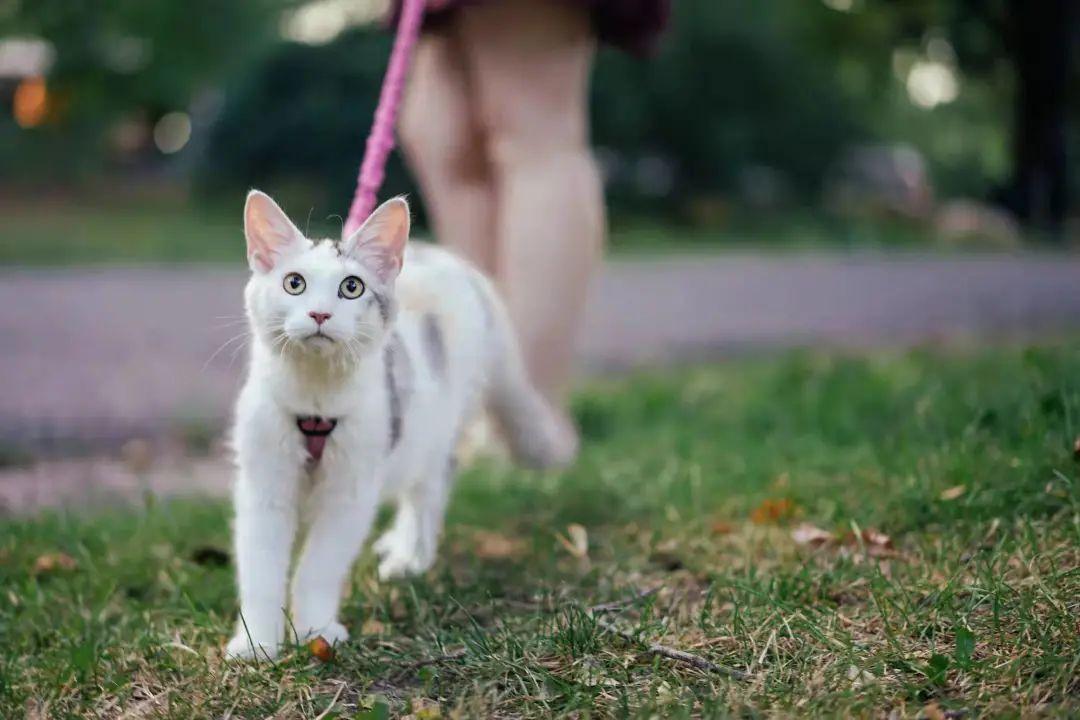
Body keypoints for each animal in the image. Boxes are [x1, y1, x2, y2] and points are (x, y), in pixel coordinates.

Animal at [225, 189, 574, 660]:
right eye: (294, 283)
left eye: (351, 287)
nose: (319, 314)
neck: (315, 399)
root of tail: (453, 261)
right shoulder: (263, 488)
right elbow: (261, 572)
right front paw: (257, 644)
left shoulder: (350, 493)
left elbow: (317, 568)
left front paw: (315, 630)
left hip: (438, 427)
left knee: (431, 487)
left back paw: (411, 557)